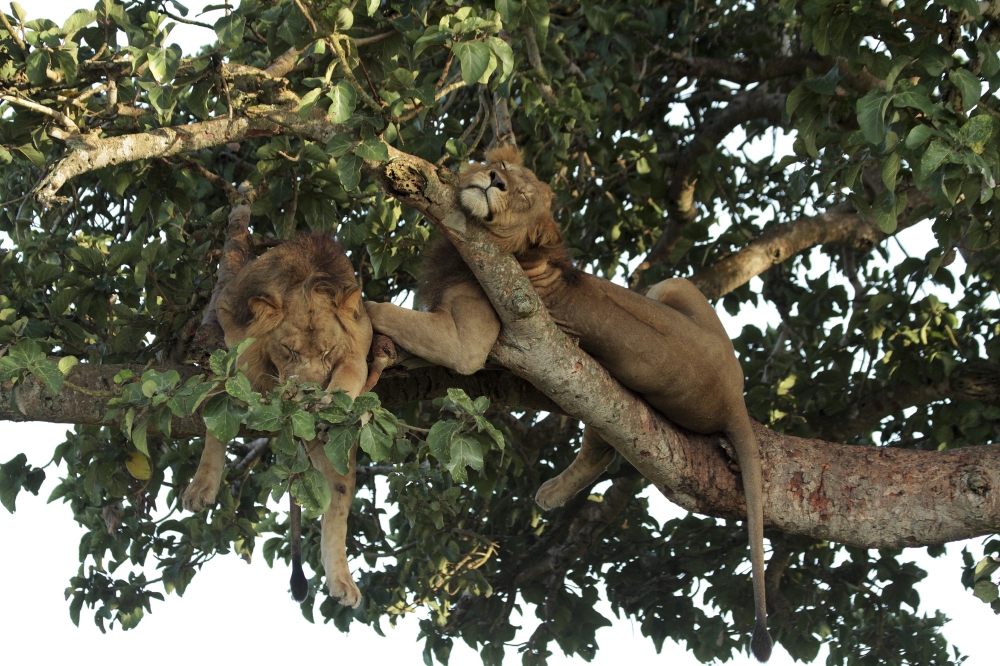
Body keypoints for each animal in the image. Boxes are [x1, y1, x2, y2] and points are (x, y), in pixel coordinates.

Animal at [182, 232, 372, 608]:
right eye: (289, 350)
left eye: (327, 351)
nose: (309, 392)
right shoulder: (234, 342)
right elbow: (217, 418)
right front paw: (201, 487)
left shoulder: (358, 348)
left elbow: (350, 375)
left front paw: (330, 401)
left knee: (338, 504)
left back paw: (342, 580)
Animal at [365, 146, 772, 661]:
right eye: (507, 171)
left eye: (521, 197)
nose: (494, 181)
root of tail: (735, 399)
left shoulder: (469, 342)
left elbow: (392, 315)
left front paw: (352, 311)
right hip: (668, 291)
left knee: (603, 448)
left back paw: (551, 492)